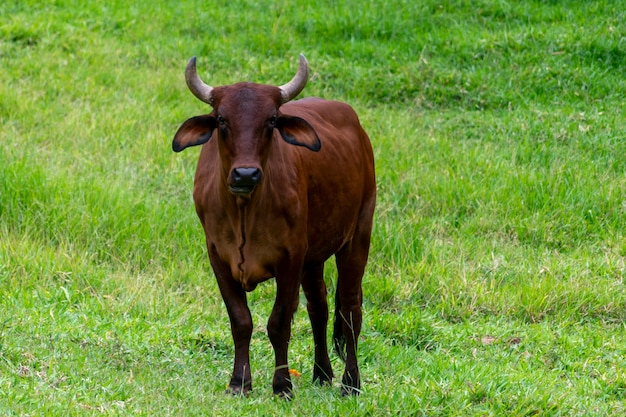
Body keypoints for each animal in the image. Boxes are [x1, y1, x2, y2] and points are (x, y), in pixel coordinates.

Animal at [172, 55, 376, 396]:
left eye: (271, 120)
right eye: (221, 120)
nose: (245, 174)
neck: (245, 211)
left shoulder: (290, 259)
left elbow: (279, 323)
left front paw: (282, 385)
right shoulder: (218, 257)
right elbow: (241, 320)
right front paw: (239, 382)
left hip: (357, 235)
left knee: (350, 310)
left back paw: (350, 382)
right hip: (314, 258)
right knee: (319, 307)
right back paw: (322, 373)